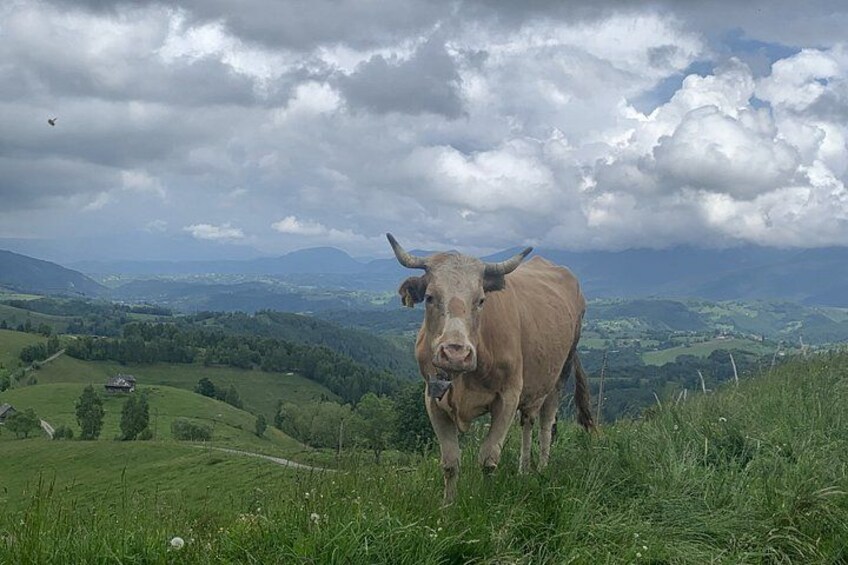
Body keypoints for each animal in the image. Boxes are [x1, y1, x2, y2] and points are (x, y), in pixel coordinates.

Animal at [387, 233, 594, 502]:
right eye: (430, 297)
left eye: (481, 300)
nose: (456, 353)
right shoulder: (432, 397)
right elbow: (450, 461)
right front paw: (448, 505)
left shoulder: (508, 396)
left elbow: (488, 458)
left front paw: (485, 501)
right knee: (528, 420)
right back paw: (523, 470)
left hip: (561, 371)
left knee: (546, 422)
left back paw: (542, 469)